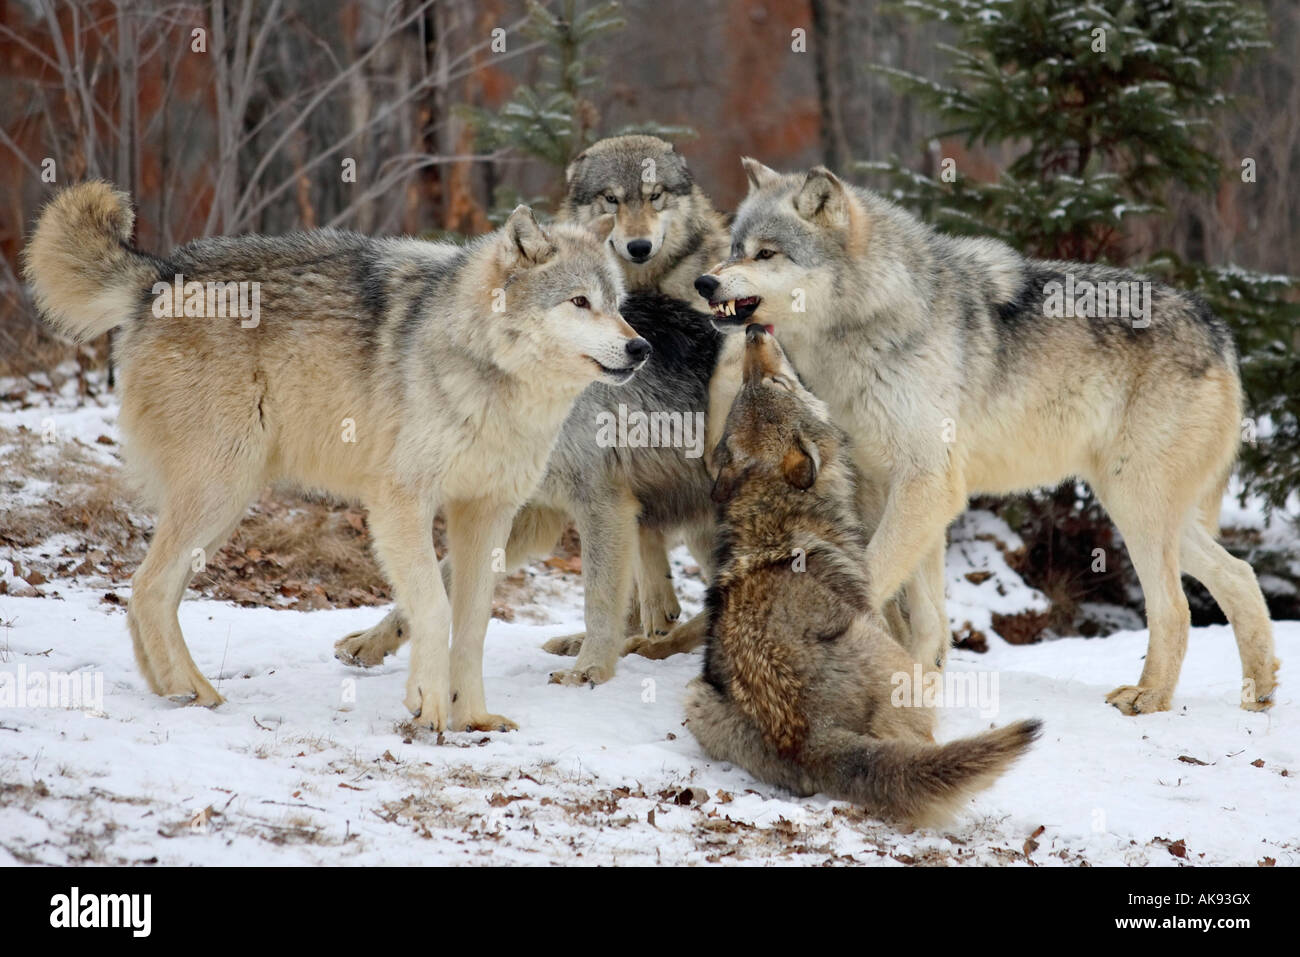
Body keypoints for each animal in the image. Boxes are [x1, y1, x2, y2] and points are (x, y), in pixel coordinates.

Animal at [25, 181, 646, 730]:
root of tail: (157, 275)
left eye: (617, 305)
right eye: (579, 302)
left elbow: (473, 626)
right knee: (147, 586)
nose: (641, 347)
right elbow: (435, 608)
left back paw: (178, 689)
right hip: (220, 493)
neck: (490, 372)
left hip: (225, 506)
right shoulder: (400, 503)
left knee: (149, 593)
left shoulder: (489, 513)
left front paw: (473, 718)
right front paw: (429, 705)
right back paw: (188, 689)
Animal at [336, 135, 735, 685]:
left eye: (613, 306)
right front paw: (372, 643)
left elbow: (599, 600)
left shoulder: (604, 503)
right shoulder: (533, 511)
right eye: (580, 304)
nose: (640, 350)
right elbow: (440, 579)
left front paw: (591, 672)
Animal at [685, 325, 1041, 826]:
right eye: (781, 384)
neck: (773, 505)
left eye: (768, 384)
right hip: (882, 649)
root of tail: (810, 738)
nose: (753, 331)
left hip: (698, 700)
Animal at [693, 158, 1279, 715]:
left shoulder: (929, 484)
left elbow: (874, 578)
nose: (704, 283)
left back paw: (1149, 698)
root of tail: (1218, 329)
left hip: (1136, 509)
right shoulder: (899, 488)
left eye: (766, 254)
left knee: (1175, 608)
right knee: (1241, 575)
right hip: (1145, 509)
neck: (870, 321)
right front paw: (916, 684)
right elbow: (926, 613)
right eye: (735, 249)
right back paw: (1259, 693)